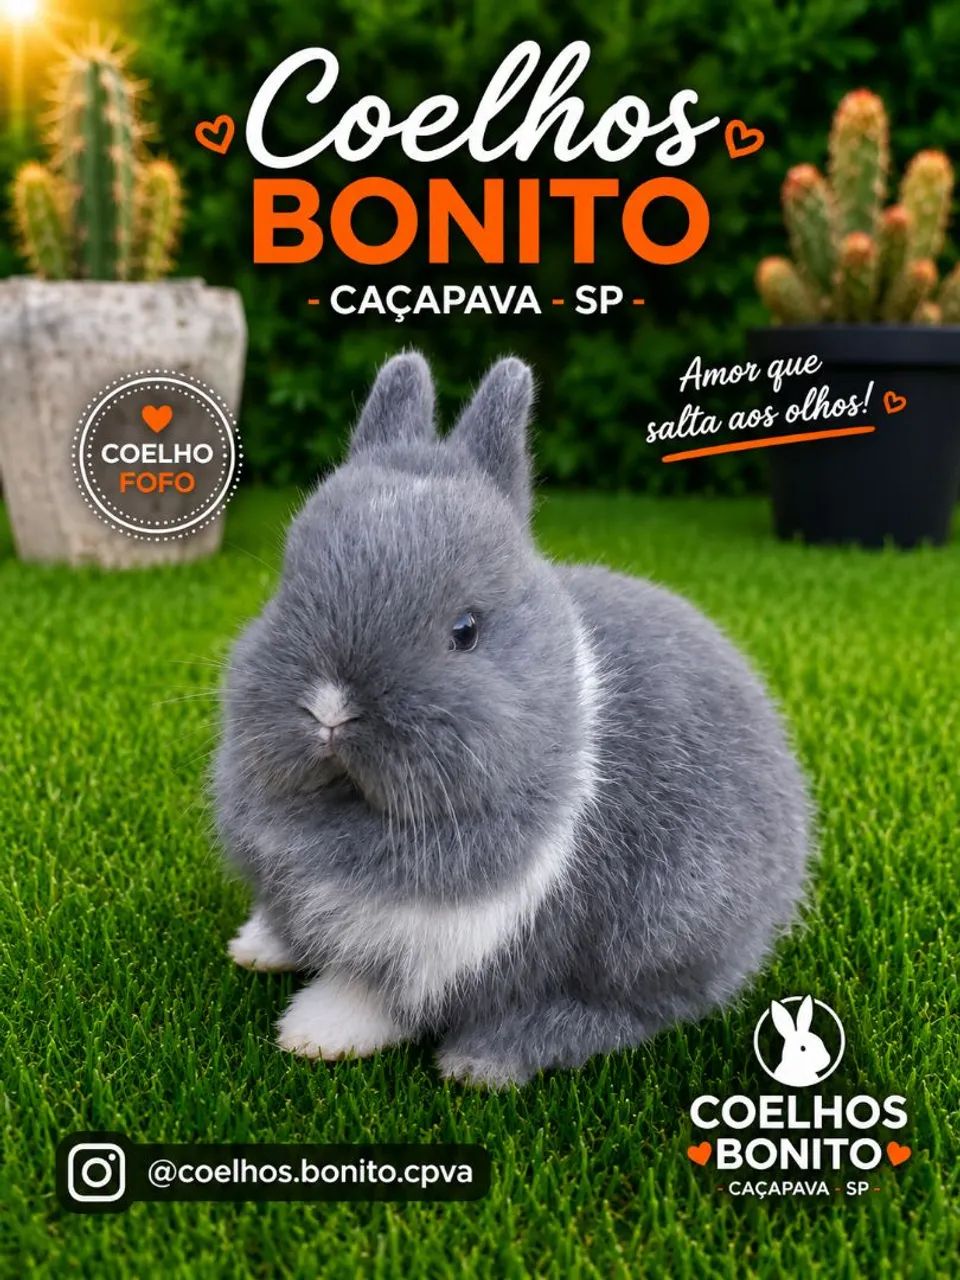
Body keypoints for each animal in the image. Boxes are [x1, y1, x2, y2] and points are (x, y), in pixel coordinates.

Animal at [213, 352, 812, 1087]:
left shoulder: (446, 940)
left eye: (466, 631)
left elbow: (376, 993)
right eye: (286, 584)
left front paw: (313, 1034)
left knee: (635, 1010)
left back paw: (484, 1060)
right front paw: (259, 944)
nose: (331, 708)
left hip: (669, 927)